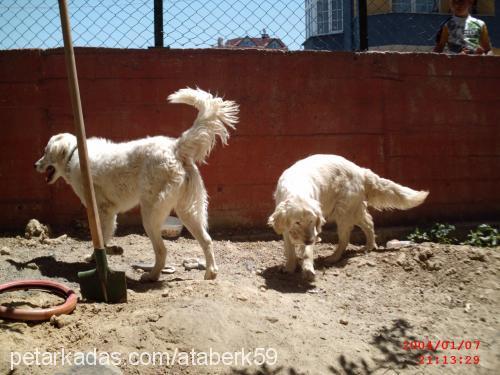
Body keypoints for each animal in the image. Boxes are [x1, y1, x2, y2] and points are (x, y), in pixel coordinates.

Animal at [35, 88, 238, 282]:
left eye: (45, 151)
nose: (35, 165)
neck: (73, 154)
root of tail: (175, 147)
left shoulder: (103, 210)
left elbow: (100, 238)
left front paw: (95, 259)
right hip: (187, 212)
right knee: (207, 240)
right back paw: (210, 273)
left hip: (150, 214)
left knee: (162, 250)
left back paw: (151, 276)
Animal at [268, 155, 428, 282]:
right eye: (297, 222)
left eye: (312, 221)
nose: (309, 240)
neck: (297, 190)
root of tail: (361, 171)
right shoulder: (286, 228)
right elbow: (290, 250)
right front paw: (289, 267)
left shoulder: (314, 230)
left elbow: (307, 251)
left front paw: (308, 270)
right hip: (353, 210)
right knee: (369, 223)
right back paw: (369, 246)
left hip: (344, 212)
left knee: (345, 239)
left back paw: (333, 257)